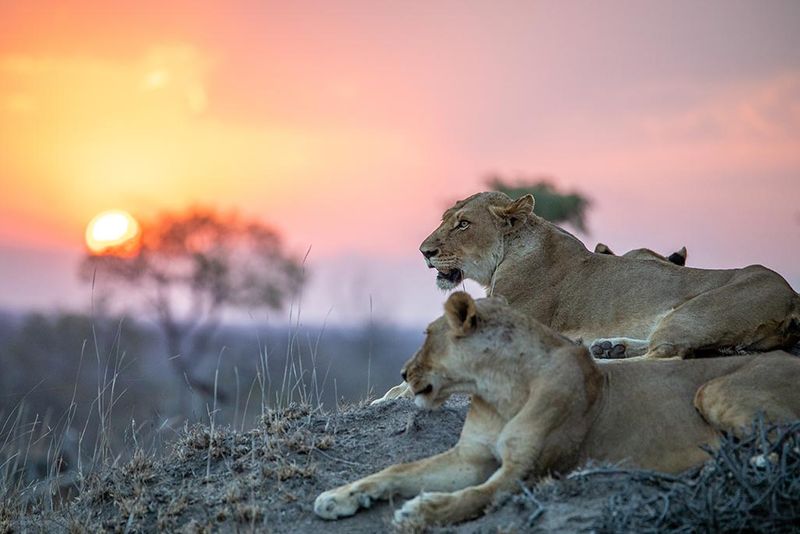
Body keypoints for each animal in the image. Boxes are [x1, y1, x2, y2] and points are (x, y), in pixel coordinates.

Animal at [317, 292, 800, 527]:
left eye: (427, 336)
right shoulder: (469, 457)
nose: (402, 372)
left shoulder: (524, 472)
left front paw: (419, 512)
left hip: (714, 391)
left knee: (784, 445)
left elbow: (475, 497)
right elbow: (399, 470)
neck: (499, 388)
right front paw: (340, 497)